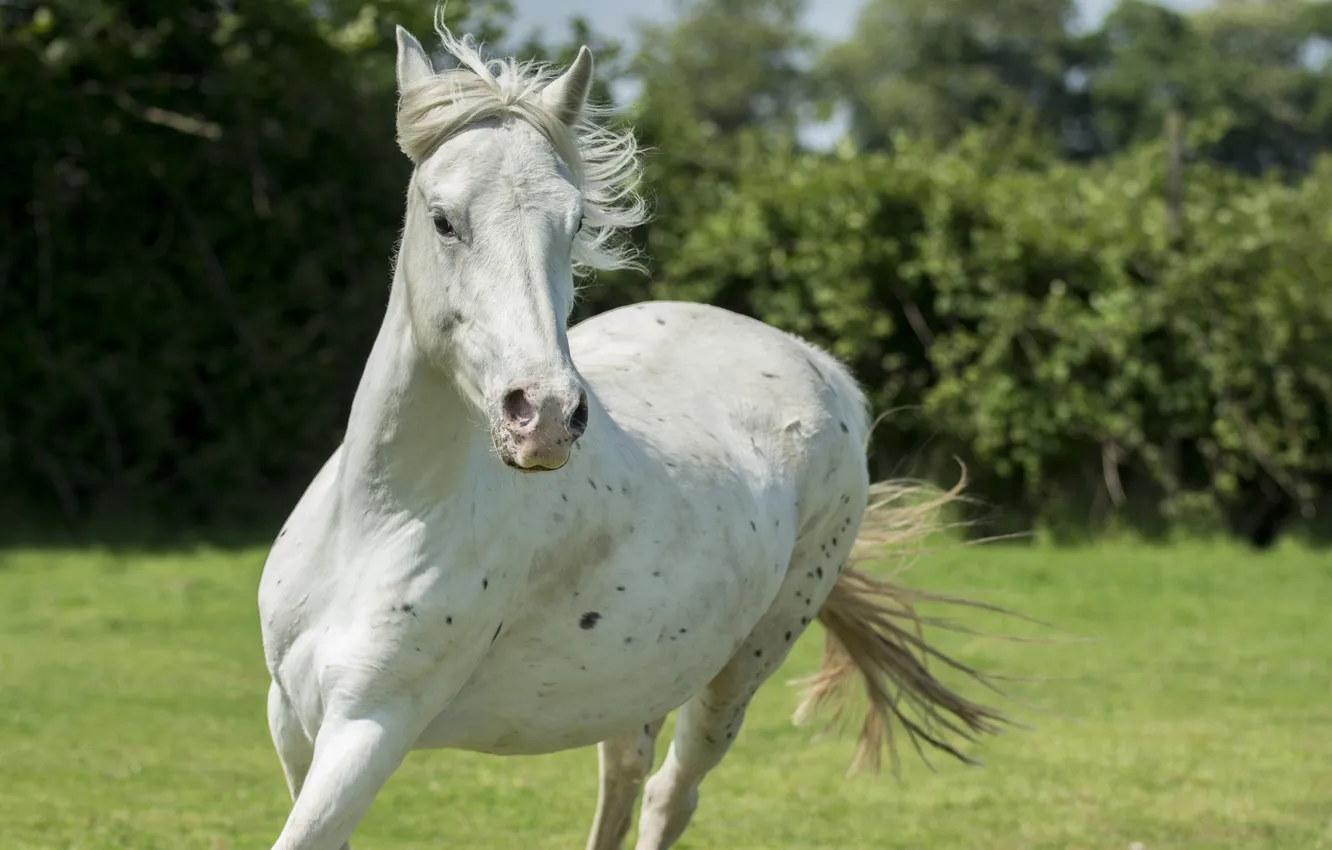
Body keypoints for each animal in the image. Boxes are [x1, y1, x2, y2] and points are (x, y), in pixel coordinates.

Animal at [256, 21, 1009, 850]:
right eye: (444, 219)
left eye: (577, 222)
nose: (544, 416)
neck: (385, 519)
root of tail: (818, 366)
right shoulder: (293, 722)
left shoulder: (371, 729)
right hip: (638, 685)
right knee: (624, 781)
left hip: (738, 672)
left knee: (669, 795)